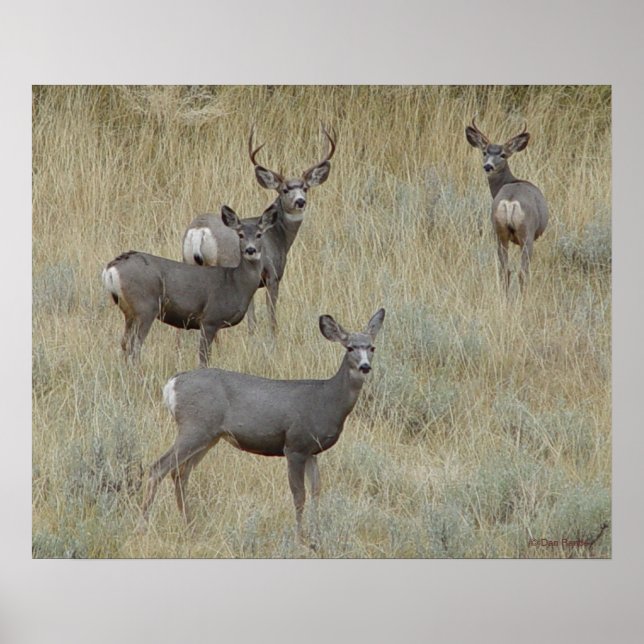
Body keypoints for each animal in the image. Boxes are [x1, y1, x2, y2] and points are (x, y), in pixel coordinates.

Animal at [102, 204, 277, 367]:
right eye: (240, 235)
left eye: (259, 235)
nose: (250, 250)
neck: (235, 283)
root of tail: (111, 269)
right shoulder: (210, 318)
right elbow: (203, 358)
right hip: (145, 306)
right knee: (135, 345)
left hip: (129, 311)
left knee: (124, 343)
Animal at [139, 307, 385, 548]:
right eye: (350, 347)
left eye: (372, 347)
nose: (365, 366)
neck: (327, 400)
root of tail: (171, 385)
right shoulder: (295, 445)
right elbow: (299, 495)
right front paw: (300, 539)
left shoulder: (312, 451)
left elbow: (316, 491)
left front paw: (317, 536)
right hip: (195, 427)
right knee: (158, 468)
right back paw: (145, 524)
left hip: (209, 436)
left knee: (180, 473)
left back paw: (190, 526)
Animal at [181, 124, 336, 335]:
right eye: (284, 190)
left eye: (305, 188)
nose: (300, 201)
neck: (278, 237)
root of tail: (199, 230)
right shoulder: (272, 274)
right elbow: (270, 315)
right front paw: (273, 337)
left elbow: (252, 317)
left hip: (187, 261)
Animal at [465, 118, 549, 292]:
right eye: (484, 152)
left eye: (503, 154)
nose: (488, 166)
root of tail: (510, 201)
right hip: (526, 233)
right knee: (522, 272)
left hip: (499, 231)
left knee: (505, 270)